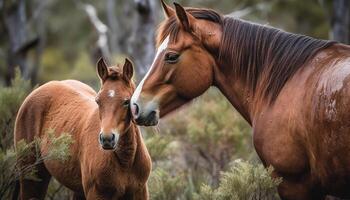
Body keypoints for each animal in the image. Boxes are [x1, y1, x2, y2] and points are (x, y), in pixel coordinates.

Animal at [14, 57, 151, 198]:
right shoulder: (97, 194)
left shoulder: (140, 193)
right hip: (32, 176)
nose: (107, 139)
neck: (126, 162)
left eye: (126, 101)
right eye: (98, 101)